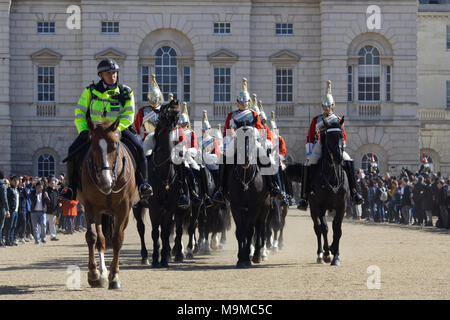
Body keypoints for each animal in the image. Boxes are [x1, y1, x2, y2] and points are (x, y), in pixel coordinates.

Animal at [78, 115, 139, 290]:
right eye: (93, 146)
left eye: (115, 145)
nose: (105, 182)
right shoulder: (90, 207)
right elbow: (92, 237)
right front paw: (93, 274)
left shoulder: (123, 209)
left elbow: (118, 239)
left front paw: (115, 276)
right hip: (100, 212)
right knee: (101, 240)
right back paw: (102, 273)